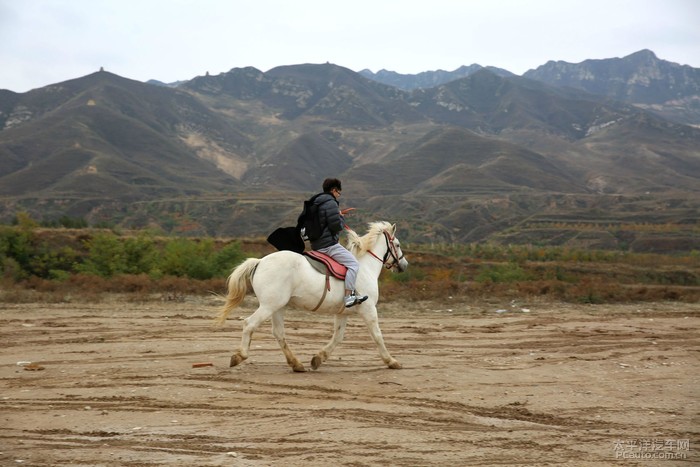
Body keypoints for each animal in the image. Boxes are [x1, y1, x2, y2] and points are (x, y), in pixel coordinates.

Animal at [216, 222, 408, 372]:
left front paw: (318, 359)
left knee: (279, 333)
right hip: (268, 306)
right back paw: (239, 356)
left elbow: (338, 337)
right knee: (249, 324)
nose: (404, 265)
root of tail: (260, 262)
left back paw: (296, 364)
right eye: (398, 245)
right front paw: (392, 361)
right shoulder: (369, 309)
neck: (365, 267)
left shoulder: (342, 313)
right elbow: (377, 335)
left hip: (277, 307)